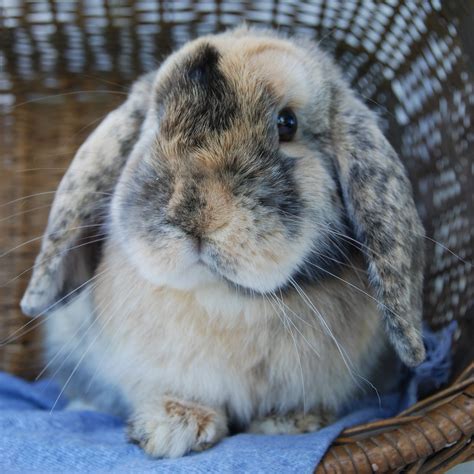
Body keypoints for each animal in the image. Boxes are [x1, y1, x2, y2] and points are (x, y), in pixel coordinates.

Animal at [19, 26, 426, 460]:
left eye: (287, 123)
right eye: (157, 121)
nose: (194, 212)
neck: (225, 297)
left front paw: (290, 423)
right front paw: (172, 428)